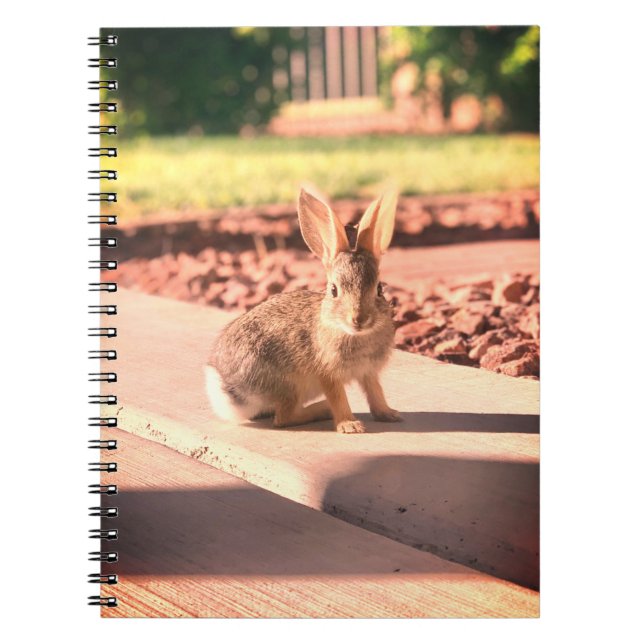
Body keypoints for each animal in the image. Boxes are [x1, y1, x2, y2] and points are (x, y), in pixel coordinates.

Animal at [204, 188, 401, 434]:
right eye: (333, 290)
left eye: (379, 289)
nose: (358, 319)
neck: (353, 333)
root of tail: (230, 389)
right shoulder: (327, 374)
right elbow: (338, 397)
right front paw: (350, 425)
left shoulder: (368, 372)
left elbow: (375, 392)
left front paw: (389, 414)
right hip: (289, 384)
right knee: (283, 418)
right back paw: (322, 409)